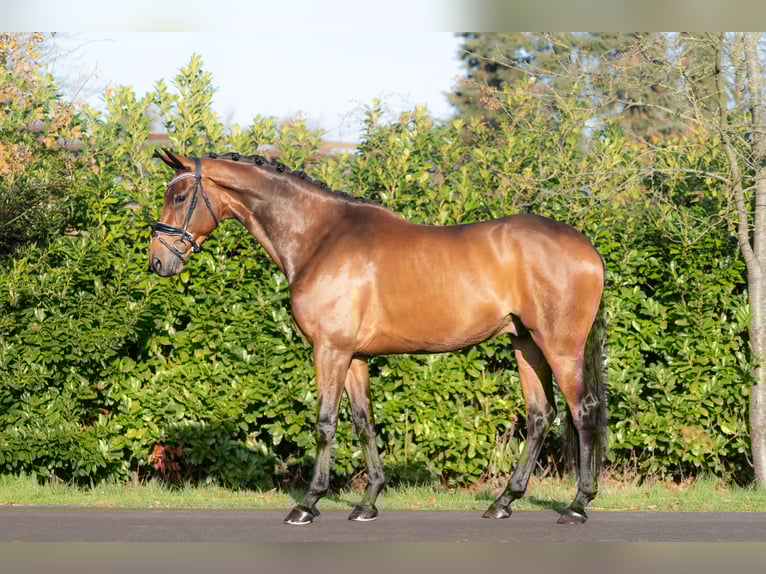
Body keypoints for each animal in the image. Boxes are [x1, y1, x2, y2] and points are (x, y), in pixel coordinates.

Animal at [149, 149, 608, 526]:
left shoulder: (329, 350)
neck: (320, 238)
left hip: (559, 346)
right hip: (525, 344)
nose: (158, 262)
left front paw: (308, 503)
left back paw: (577, 506)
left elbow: (325, 422)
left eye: (179, 196)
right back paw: (504, 502)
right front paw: (368, 502)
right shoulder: (354, 356)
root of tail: (588, 248)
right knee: (539, 415)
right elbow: (363, 422)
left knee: (582, 410)